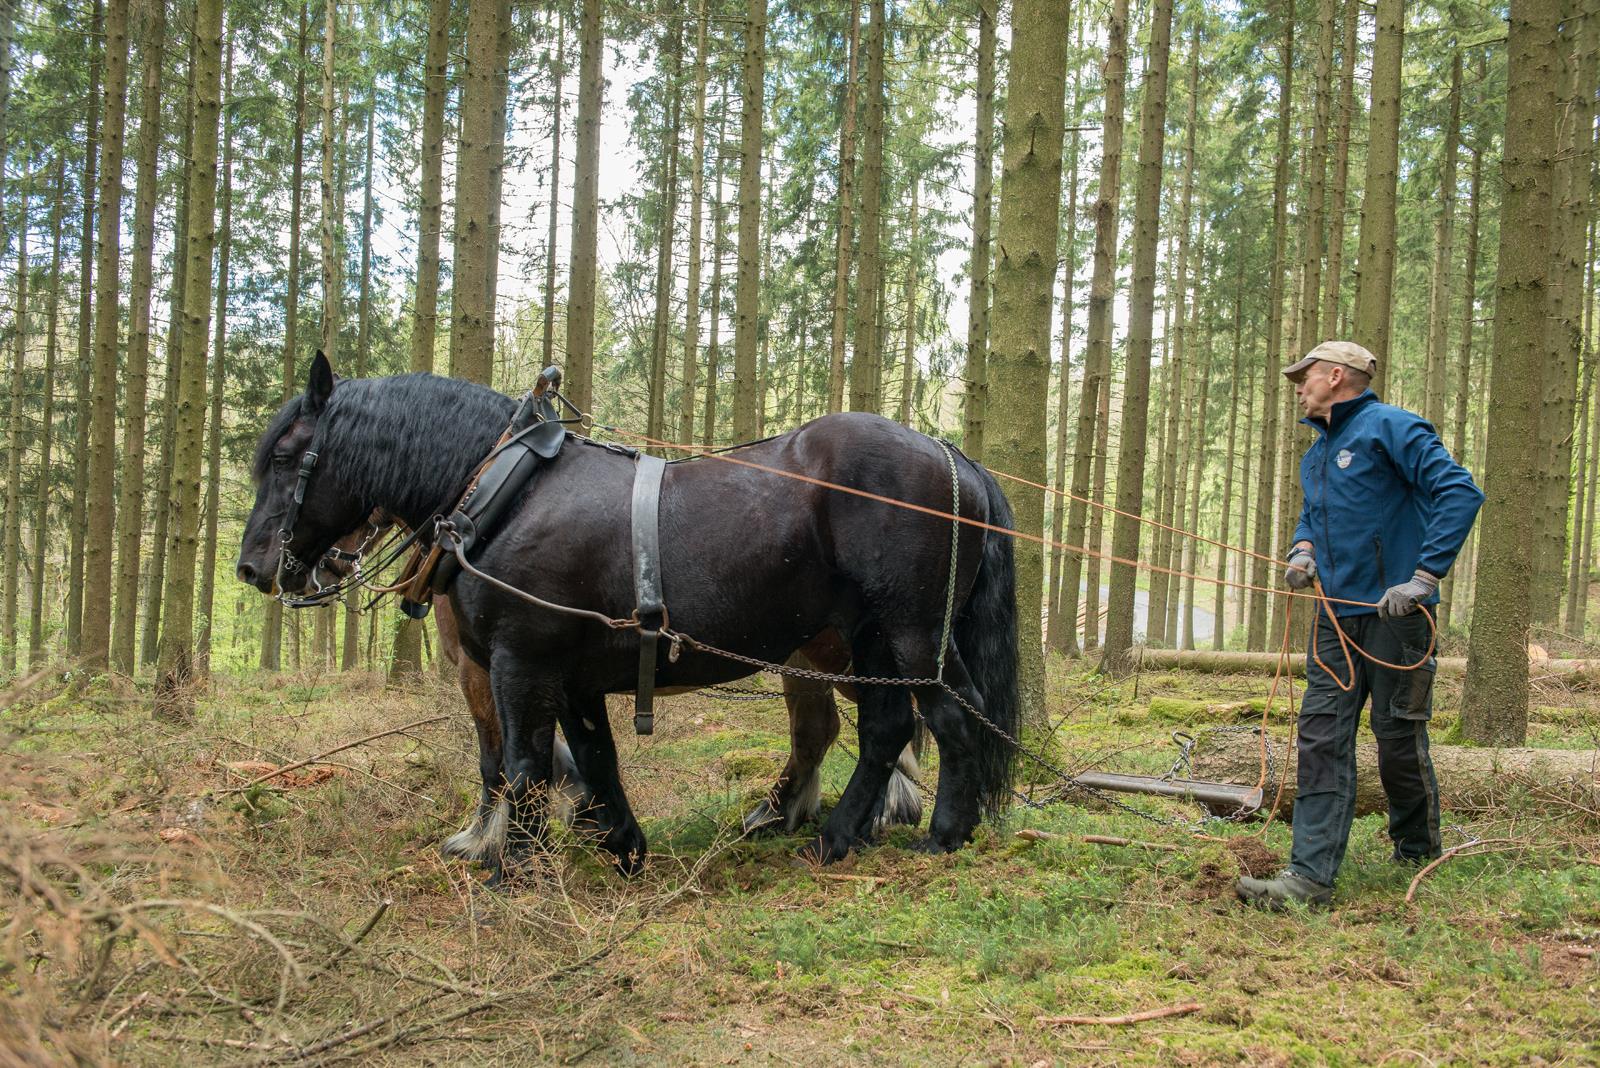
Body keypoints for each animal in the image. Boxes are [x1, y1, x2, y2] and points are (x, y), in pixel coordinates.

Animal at [235, 356, 1011, 876]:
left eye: (286, 456)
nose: (253, 567)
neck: (504, 494)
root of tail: (950, 455)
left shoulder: (519, 664)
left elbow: (518, 763)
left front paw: (511, 865)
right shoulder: (572, 675)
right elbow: (594, 758)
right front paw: (619, 843)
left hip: (910, 632)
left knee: (949, 714)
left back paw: (941, 832)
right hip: (870, 638)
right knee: (888, 726)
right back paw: (839, 835)